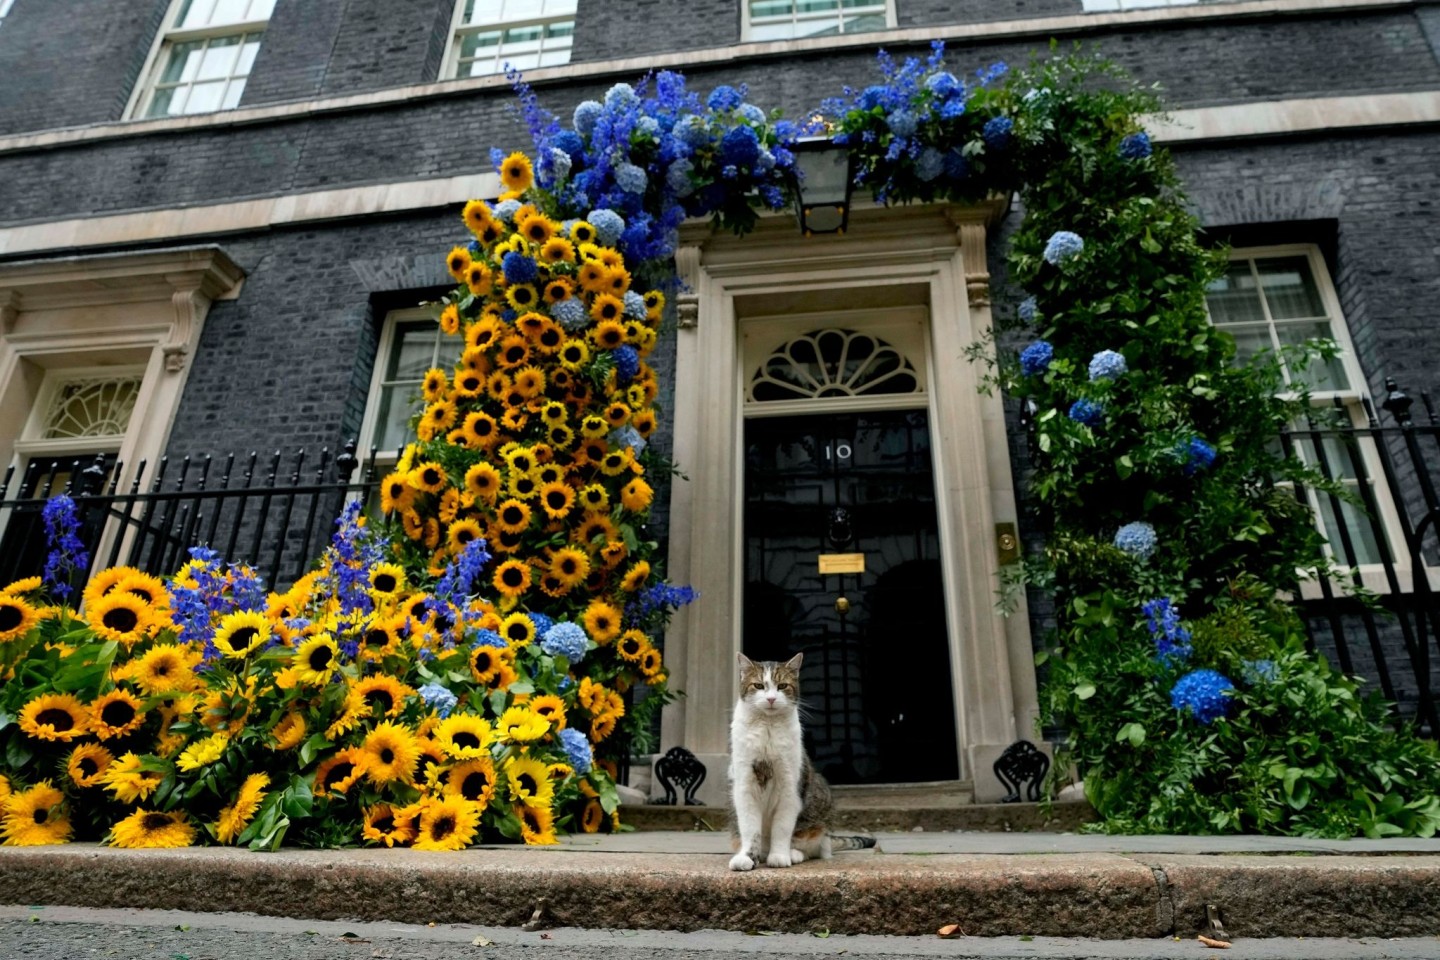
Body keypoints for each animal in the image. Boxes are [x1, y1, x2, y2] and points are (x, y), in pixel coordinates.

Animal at [725, 653, 869, 869]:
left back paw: (793, 854)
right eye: (758, 685)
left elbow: (782, 828)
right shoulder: (745, 786)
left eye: (782, 686)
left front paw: (779, 856)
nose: (771, 698)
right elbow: (750, 829)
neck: (767, 727)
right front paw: (747, 857)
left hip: (819, 806)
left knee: (814, 847)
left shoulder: (789, 787)